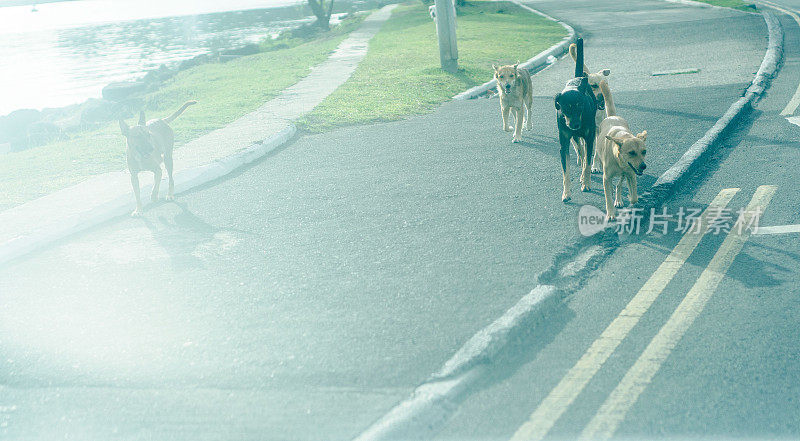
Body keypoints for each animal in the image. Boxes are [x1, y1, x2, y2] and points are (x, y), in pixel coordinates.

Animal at [552, 38, 596, 202]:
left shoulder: (590, 137)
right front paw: (566, 193)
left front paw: (586, 183)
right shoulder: (564, 142)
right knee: (581, 151)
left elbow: (588, 163)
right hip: (575, 136)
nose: (576, 125)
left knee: (585, 155)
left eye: (580, 106)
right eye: (565, 108)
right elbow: (566, 171)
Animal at [568, 41, 612, 172]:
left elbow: (596, 150)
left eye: (606, 84)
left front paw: (595, 165)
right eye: (594, 85)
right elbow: (580, 147)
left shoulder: (597, 130)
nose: (603, 97)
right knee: (579, 145)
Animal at [596, 81, 648, 219]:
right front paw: (610, 213)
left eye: (644, 151)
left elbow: (634, 196)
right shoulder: (606, 177)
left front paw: (630, 197)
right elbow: (607, 197)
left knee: (619, 184)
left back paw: (618, 199)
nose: (643, 166)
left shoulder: (631, 174)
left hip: (624, 175)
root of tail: (613, 116)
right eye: (631, 153)